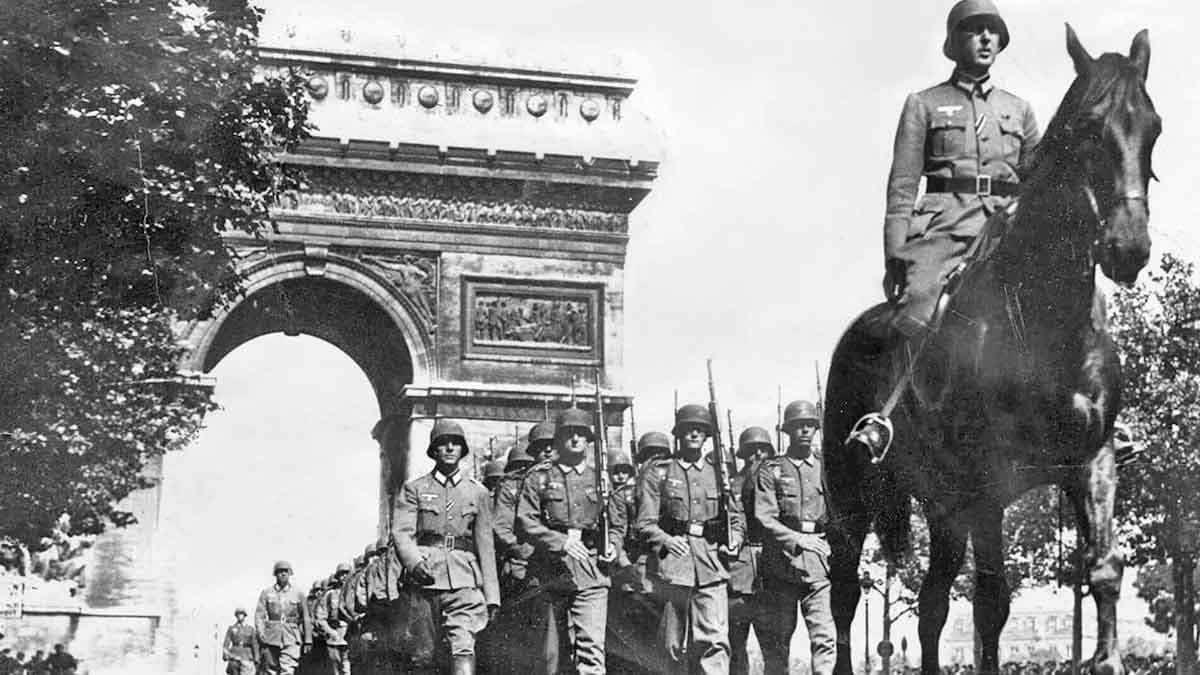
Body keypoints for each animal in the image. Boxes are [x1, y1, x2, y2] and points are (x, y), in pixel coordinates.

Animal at [825, 24, 1152, 672]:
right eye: (1089, 129)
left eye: (1152, 126)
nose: (1129, 248)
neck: (1051, 327)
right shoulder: (986, 487)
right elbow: (991, 602)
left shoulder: (1092, 462)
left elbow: (1102, 569)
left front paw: (1107, 657)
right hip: (854, 499)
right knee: (846, 595)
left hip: (943, 509)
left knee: (929, 606)